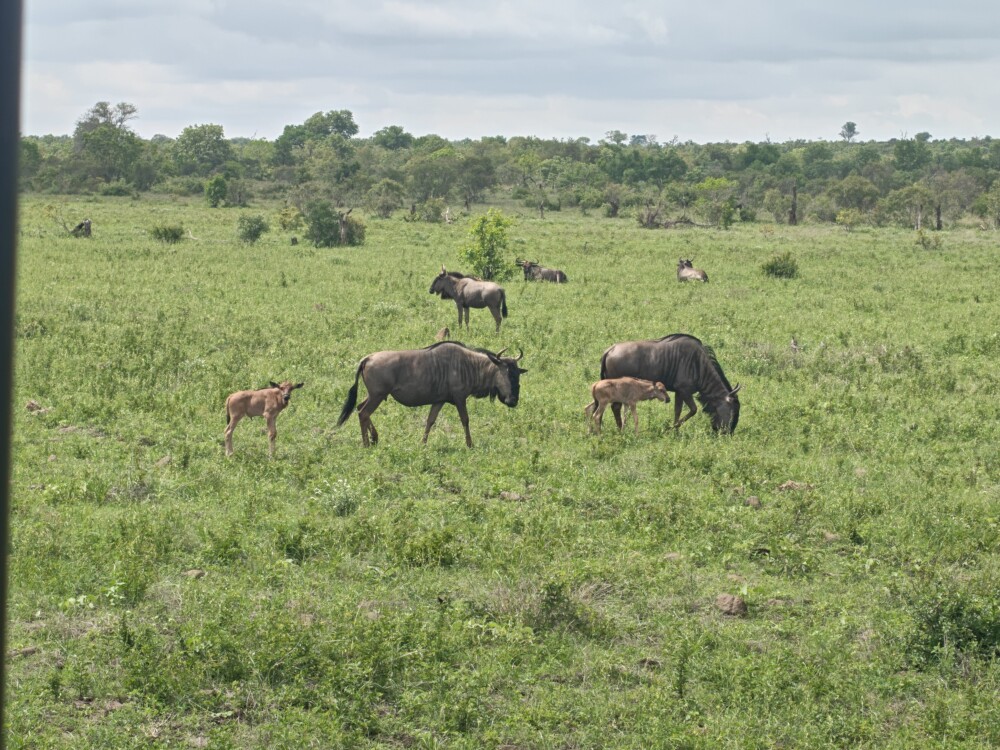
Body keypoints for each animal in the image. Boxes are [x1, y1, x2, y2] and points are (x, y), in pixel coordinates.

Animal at [336, 342, 526, 447]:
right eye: (507, 373)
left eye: (518, 374)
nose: (513, 401)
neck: (469, 365)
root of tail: (367, 358)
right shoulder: (460, 399)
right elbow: (465, 420)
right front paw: (470, 444)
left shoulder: (439, 401)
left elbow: (430, 420)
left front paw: (423, 443)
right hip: (377, 395)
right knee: (363, 413)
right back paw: (367, 443)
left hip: (375, 395)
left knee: (360, 408)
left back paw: (375, 438)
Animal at [600, 334, 741, 432]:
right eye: (733, 412)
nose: (728, 433)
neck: (698, 365)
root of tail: (610, 350)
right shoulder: (685, 391)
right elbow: (693, 410)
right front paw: (669, 429)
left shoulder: (679, 392)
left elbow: (677, 411)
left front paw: (675, 432)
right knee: (615, 407)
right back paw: (620, 430)